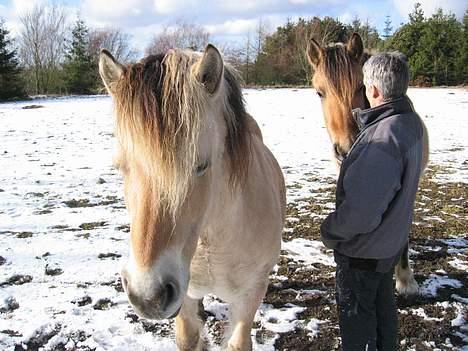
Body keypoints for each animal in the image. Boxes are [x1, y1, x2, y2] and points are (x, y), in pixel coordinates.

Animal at [98, 44, 286, 351]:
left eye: (201, 165)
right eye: (121, 166)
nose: (147, 296)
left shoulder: (250, 295)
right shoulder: (183, 297)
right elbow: (188, 336)